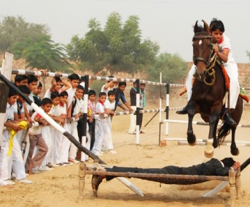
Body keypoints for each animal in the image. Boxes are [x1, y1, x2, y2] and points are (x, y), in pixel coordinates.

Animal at [188, 20, 243, 157]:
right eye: (193, 44)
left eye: (209, 45)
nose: (200, 72)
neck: (207, 82)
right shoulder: (196, 103)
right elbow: (191, 112)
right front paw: (191, 138)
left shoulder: (217, 106)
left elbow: (214, 119)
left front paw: (208, 149)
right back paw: (215, 141)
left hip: (236, 113)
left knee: (233, 126)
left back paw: (234, 149)